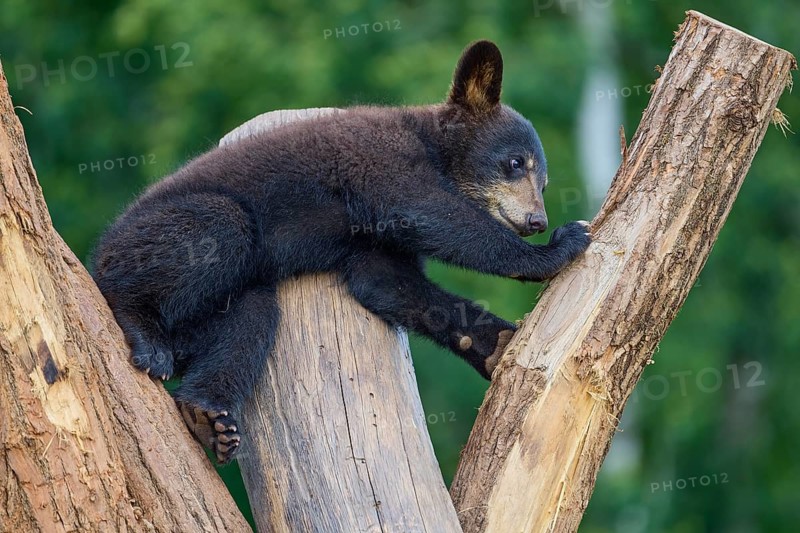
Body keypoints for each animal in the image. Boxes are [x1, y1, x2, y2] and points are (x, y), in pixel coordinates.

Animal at [91, 40, 591, 464]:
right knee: (213, 233)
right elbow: (437, 215)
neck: (429, 142)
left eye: (544, 182)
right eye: (515, 163)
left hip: (217, 310)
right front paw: (559, 246)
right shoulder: (378, 159)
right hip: (158, 236)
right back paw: (146, 338)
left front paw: (495, 342)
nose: (536, 221)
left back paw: (207, 416)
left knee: (248, 319)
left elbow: (389, 286)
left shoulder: (374, 241)